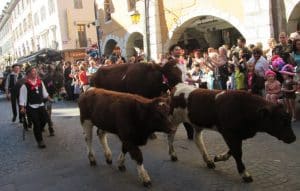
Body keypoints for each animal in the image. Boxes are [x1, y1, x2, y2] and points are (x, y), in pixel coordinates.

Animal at [168, 83, 296, 183]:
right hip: (173, 119)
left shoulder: (238, 135)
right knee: (170, 136)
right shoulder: (229, 133)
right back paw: (173, 155)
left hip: (197, 124)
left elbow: (233, 151)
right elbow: (237, 153)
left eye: (288, 120)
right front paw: (245, 174)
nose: (294, 138)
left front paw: (218, 158)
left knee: (197, 139)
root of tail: (178, 86)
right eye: (281, 121)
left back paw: (208, 161)